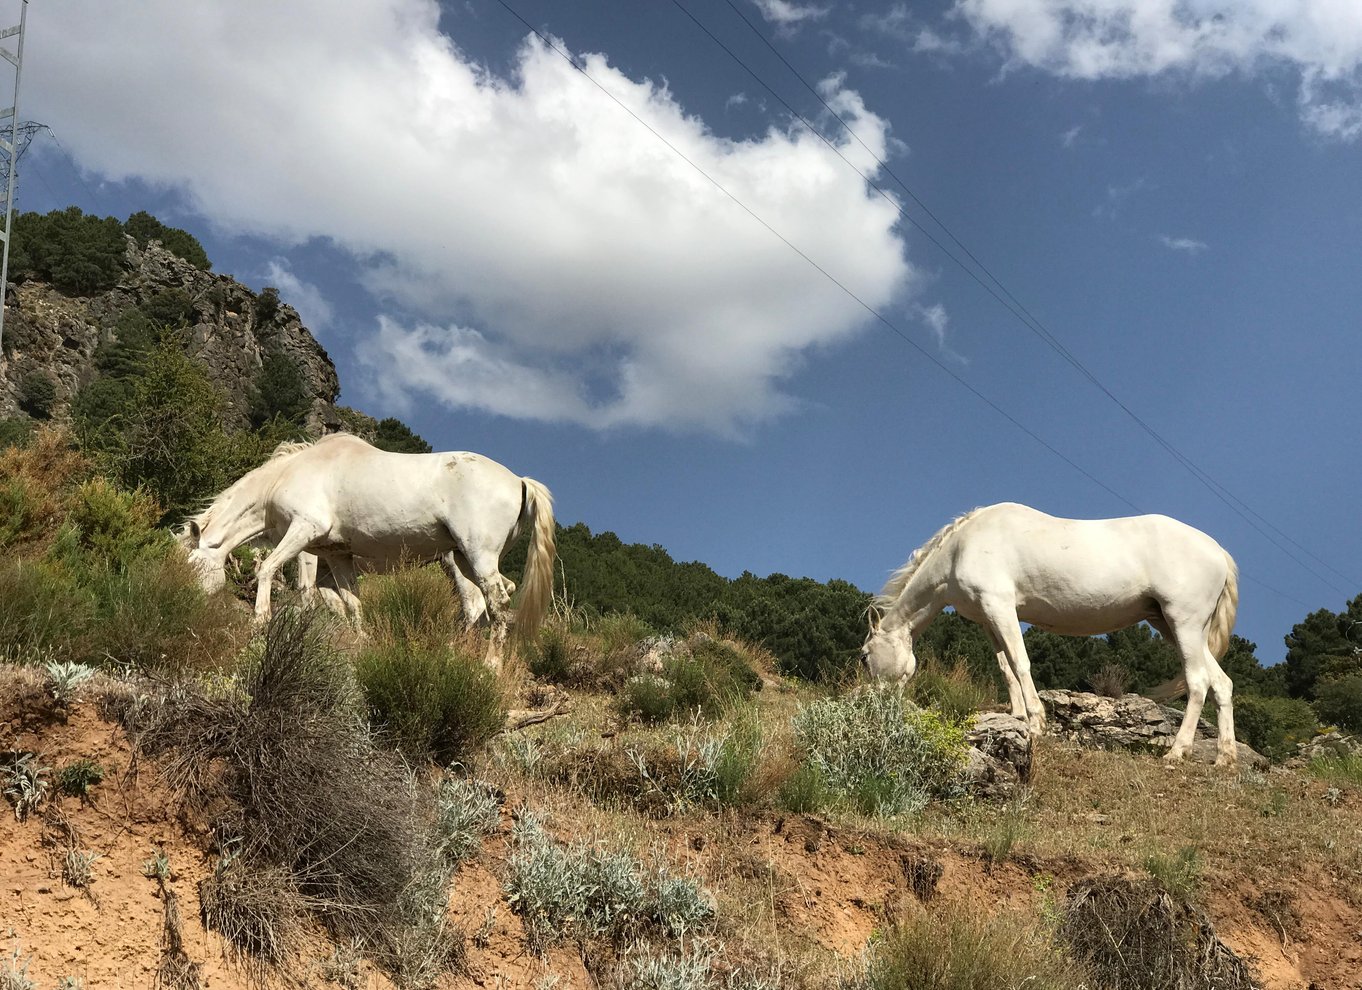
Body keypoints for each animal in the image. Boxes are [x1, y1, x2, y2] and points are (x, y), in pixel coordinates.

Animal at [183, 433, 555, 667]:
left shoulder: (304, 533)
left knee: (496, 602)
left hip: (476, 556)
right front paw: (360, 645)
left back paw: (489, 664)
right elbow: (351, 604)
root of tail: (519, 481)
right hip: (465, 559)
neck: (289, 474)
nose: (186, 605)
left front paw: (262, 622)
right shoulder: (336, 554)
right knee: (491, 600)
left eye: (192, 566)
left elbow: (276, 574)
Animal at [866, 503, 1242, 768]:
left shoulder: (1000, 606)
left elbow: (1020, 663)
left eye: (864, 655)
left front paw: (1036, 723)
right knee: (1221, 683)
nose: (878, 704)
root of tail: (1218, 551)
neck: (963, 546)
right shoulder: (988, 618)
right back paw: (1225, 758)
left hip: (1183, 623)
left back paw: (1177, 752)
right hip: (1174, 625)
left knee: (1198, 682)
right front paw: (1018, 716)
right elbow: (1005, 667)